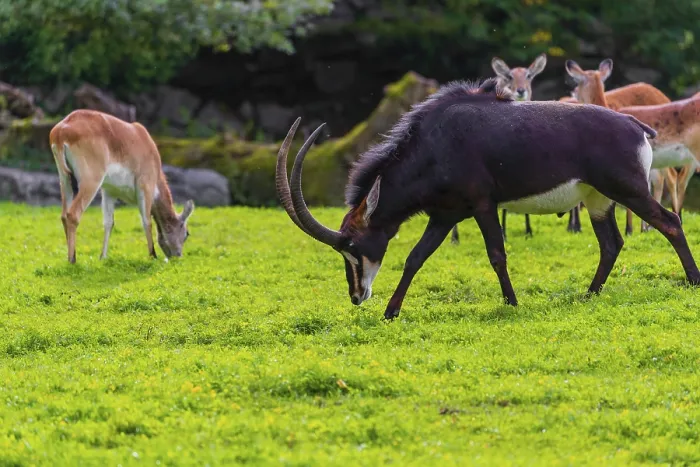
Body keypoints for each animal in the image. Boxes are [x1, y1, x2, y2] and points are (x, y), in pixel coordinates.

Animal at [49, 109, 195, 263]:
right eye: (187, 233)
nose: (178, 256)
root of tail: (61, 129)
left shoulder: (108, 192)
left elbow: (108, 223)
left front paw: (103, 257)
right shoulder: (145, 186)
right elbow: (146, 221)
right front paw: (152, 255)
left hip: (65, 180)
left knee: (64, 215)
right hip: (90, 182)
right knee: (73, 214)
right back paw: (72, 259)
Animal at [277, 79, 699, 320]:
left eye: (351, 246)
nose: (356, 295)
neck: (434, 143)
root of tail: (635, 126)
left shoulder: (482, 205)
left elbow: (496, 253)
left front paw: (511, 304)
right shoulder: (444, 216)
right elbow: (415, 258)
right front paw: (391, 312)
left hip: (627, 189)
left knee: (670, 222)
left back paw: (693, 281)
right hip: (598, 200)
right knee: (611, 243)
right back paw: (588, 295)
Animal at [451, 53, 548, 244]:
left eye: (529, 75)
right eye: (509, 76)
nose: (520, 90)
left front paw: (528, 231)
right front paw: (504, 233)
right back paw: (455, 238)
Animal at [564, 59, 678, 234]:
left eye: (578, 81)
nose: (573, 92)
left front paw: (629, 228)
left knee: (671, 177)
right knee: (660, 181)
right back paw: (647, 227)